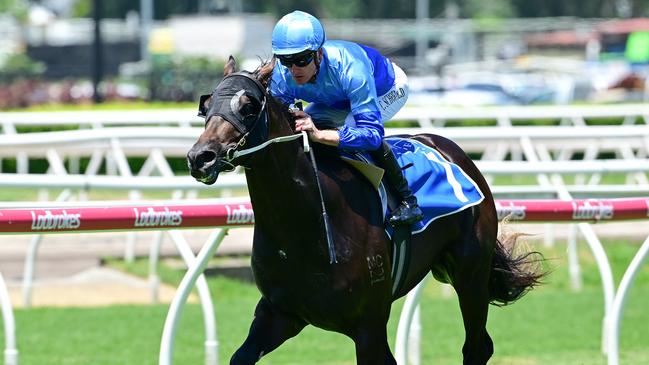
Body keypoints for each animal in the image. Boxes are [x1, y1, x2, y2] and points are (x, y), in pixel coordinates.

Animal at [187, 57, 548, 364]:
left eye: (248, 106)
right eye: (206, 106)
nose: (200, 157)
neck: (306, 226)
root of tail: (451, 149)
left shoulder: (368, 326)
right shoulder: (280, 314)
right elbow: (241, 356)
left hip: (470, 274)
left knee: (477, 347)